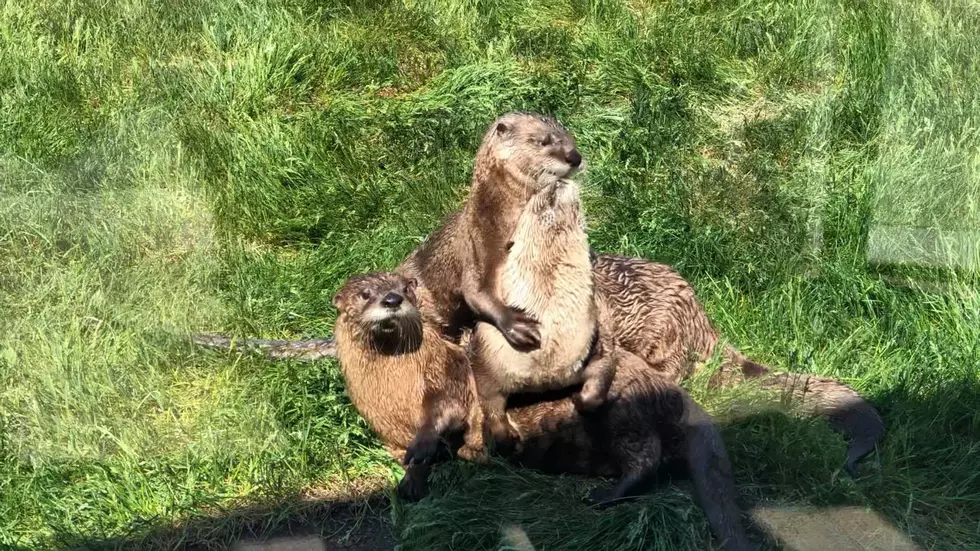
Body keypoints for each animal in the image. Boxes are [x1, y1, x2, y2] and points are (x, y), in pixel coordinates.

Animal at [328, 272, 752, 551]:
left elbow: (444, 413)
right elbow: (404, 455)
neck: (397, 393)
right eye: (364, 294)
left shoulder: (446, 378)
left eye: (404, 289)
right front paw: (412, 480)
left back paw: (604, 496)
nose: (391, 300)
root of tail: (675, 394)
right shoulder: (384, 429)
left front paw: (424, 447)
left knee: (645, 456)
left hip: (626, 410)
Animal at [394, 111, 584, 350]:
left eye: (568, 135)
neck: (502, 213)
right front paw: (517, 324)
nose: (575, 156)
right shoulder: (477, 241)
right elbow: (475, 291)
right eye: (543, 141)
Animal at [468, 179, 620, 454]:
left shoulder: (593, 348)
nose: (557, 182)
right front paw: (506, 436)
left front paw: (578, 398)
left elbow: (597, 389)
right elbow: (490, 405)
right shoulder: (488, 360)